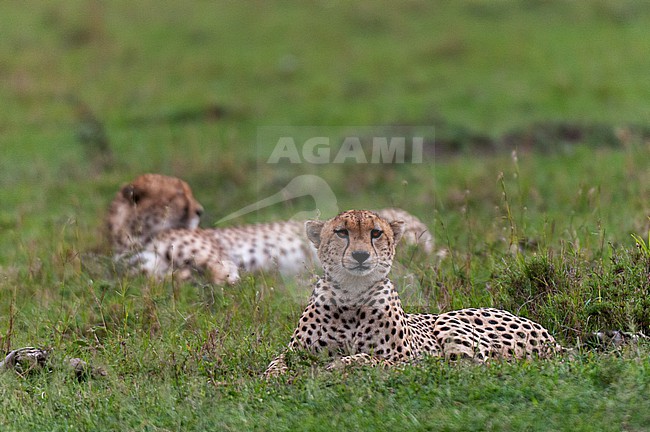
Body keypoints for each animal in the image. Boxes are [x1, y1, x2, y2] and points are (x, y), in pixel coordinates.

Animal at [263, 210, 561, 377]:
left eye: (375, 233)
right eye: (341, 233)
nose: (360, 255)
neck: (352, 298)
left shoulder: (408, 359)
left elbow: (371, 358)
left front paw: (339, 366)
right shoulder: (294, 351)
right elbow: (274, 365)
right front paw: (274, 378)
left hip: (449, 320)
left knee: (470, 365)